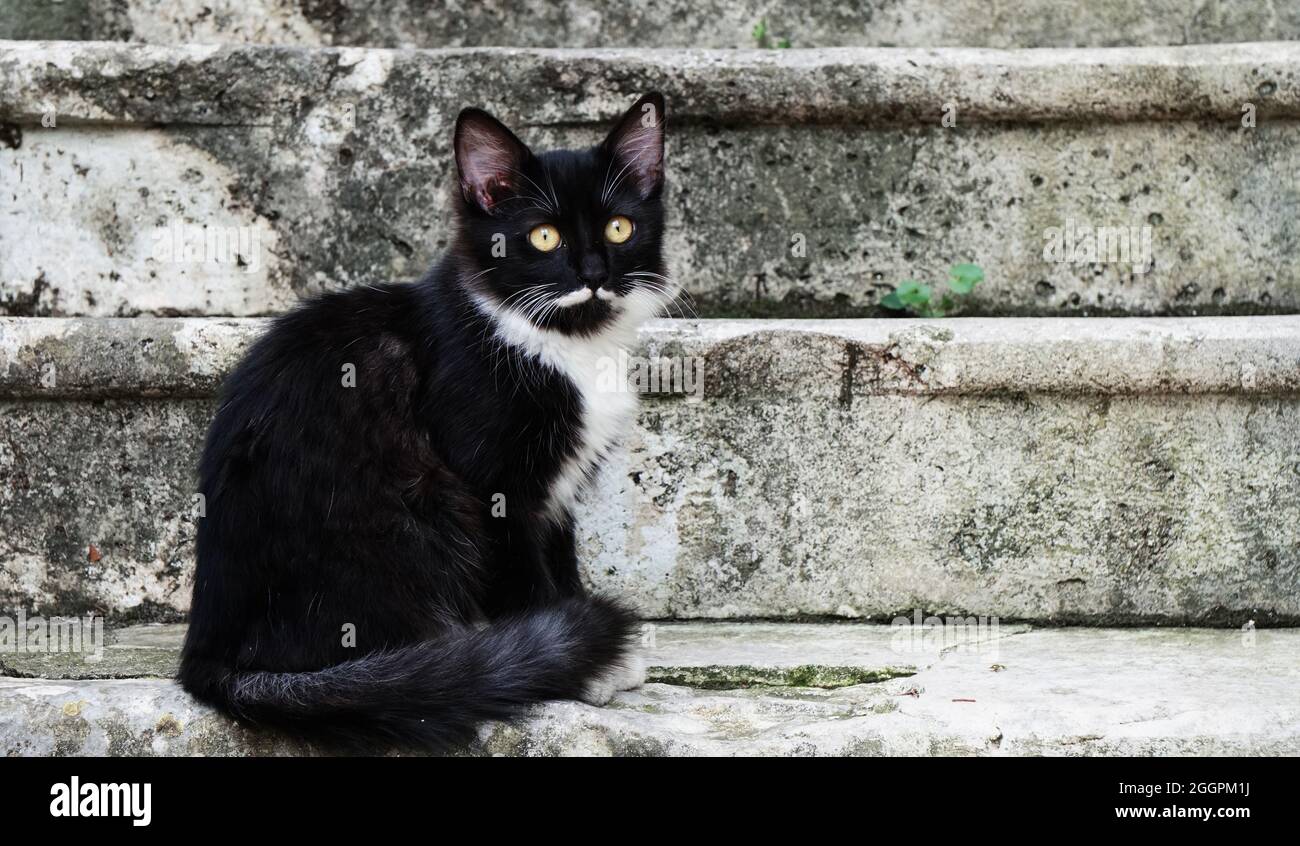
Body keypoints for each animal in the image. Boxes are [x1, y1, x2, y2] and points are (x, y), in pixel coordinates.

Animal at [182, 94, 676, 753]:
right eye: (543, 236)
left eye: (620, 227)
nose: (594, 272)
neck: (559, 344)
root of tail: (209, 657)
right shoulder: (493, 485)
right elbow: (527, 578)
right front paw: (577, 661)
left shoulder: (559, 493)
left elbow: (563, 560)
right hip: (420, 508)